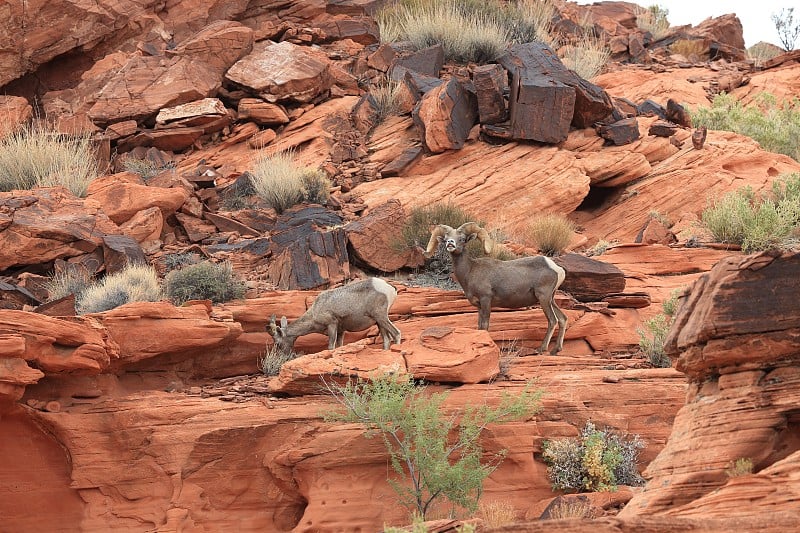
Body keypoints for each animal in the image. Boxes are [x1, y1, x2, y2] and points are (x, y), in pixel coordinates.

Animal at [266, 276, 400, 356]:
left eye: (278, 343)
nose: (283, 356)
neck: (314, 313)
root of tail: (389, 287)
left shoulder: (332, 325)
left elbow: (331, 347)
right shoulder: (341, 331)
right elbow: (339, 347)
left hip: (381, 316)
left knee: (396, 333)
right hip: (379, 322)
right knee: (387, 340)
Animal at [424, 220, 568, 354]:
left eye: (463, 239)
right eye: (446, 238)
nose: (450, 243)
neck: (470, 271)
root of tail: (557, 269)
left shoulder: (486, 300)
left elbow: (485, 325)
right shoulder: (479, 306)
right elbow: (479, 326)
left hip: (543, 298)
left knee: (552, 320)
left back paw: (542, 349)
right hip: (550, 299)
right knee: (562, 319)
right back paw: (556, 349)